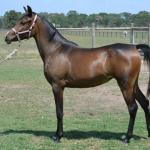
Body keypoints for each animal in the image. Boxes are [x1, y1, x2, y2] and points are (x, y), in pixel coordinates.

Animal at [4, 5, 150, 143]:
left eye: (24, 22)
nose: (7, 37)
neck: (55, 50)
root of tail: (134, 47)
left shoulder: (57, 86)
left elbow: (59, 112)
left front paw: (57, 136)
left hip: (125, 85)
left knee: (133, 108)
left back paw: (127, 138)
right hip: (133, 85)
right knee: (145, 103)